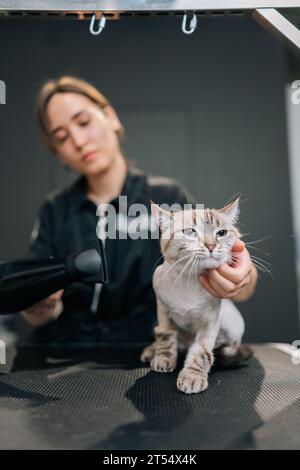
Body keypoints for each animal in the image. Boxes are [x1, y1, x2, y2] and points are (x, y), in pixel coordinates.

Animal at [142, 196, 252, 394]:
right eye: (190, 232)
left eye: (221, 233)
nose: (211, 246)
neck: (189, 283)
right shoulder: (162, 311)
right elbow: (165, 336)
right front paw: (163, 358)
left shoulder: (209, 323)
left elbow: (201, 352)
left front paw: (192, 376)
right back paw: (151, 352)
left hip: (234, 325)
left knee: (223, 348)